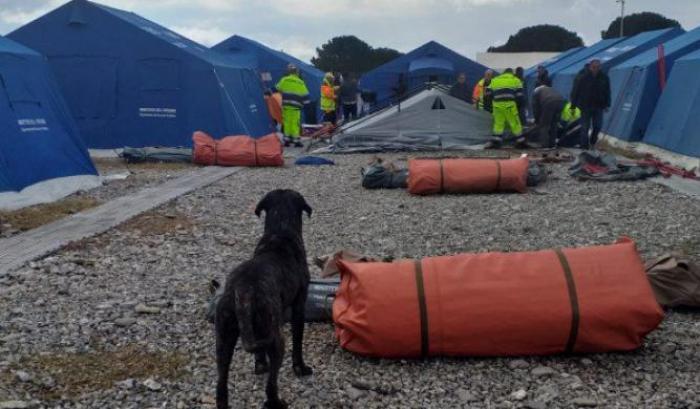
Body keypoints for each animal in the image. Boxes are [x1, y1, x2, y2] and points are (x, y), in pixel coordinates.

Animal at [213, 190, 312, 406]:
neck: (280, 231)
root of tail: (243, 290)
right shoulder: (299, 307)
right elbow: (298, 342)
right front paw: (300, 368)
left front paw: (259, 365)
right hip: (276, 340)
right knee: (270, 386)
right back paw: (277, 402)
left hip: (223, 342)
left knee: (221, 385)